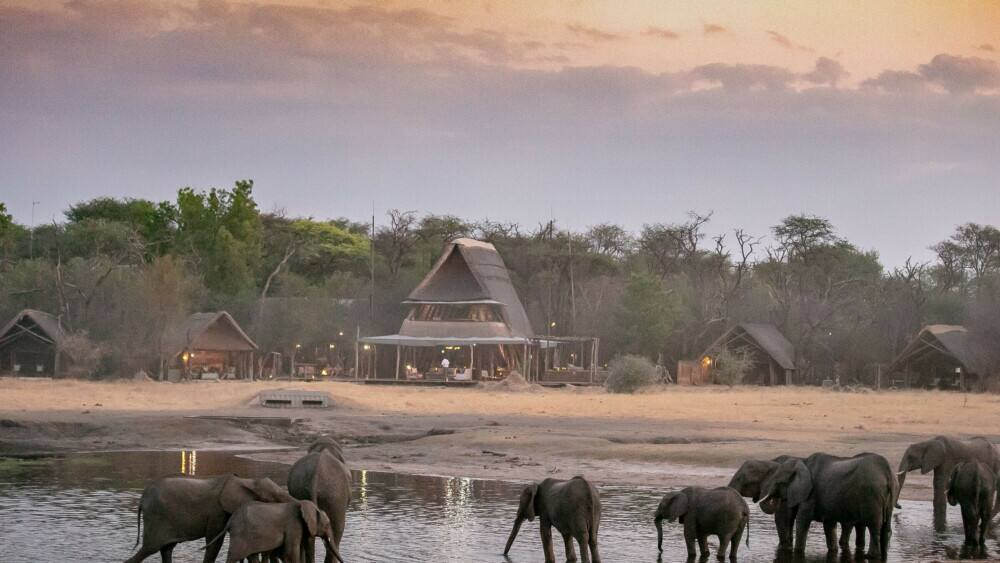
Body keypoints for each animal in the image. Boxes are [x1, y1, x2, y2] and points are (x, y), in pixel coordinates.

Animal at [121, 476, 292, 563]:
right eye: (274, 499)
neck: (247, 480)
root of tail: (142, 499)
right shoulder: (217, 512)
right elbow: (215, 543)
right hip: (157, 517)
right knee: (150, 548)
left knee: (166, 549)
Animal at [205, 500, 342, 563]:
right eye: (327, 524)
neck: (302, 503)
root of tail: (230, 520)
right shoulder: (293, 525)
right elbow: (291, 552)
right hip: (240, 535)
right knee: (233, 557)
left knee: (252, 556)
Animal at [756, 454, 900, 560]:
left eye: (778, 482)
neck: (802, 461)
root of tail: (887, 472)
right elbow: (829, 525)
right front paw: (833, 551)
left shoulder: (810, 495)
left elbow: (803, 521)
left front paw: (797, 552)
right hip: (889, 495)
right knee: (885, 527)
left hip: (871, 495)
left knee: (874, 526)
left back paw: (870, 556)